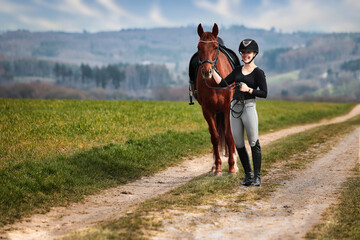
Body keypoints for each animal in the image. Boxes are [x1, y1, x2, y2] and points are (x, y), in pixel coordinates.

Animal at [193, 23, 238, 175]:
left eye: (214, 47)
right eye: (199, 47)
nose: (207, 71)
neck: (215, 82)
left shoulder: (227, 109)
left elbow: (229, 136)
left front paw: (232, 166)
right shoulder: (207, 111)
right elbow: (215, 137)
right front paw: (217, 167)